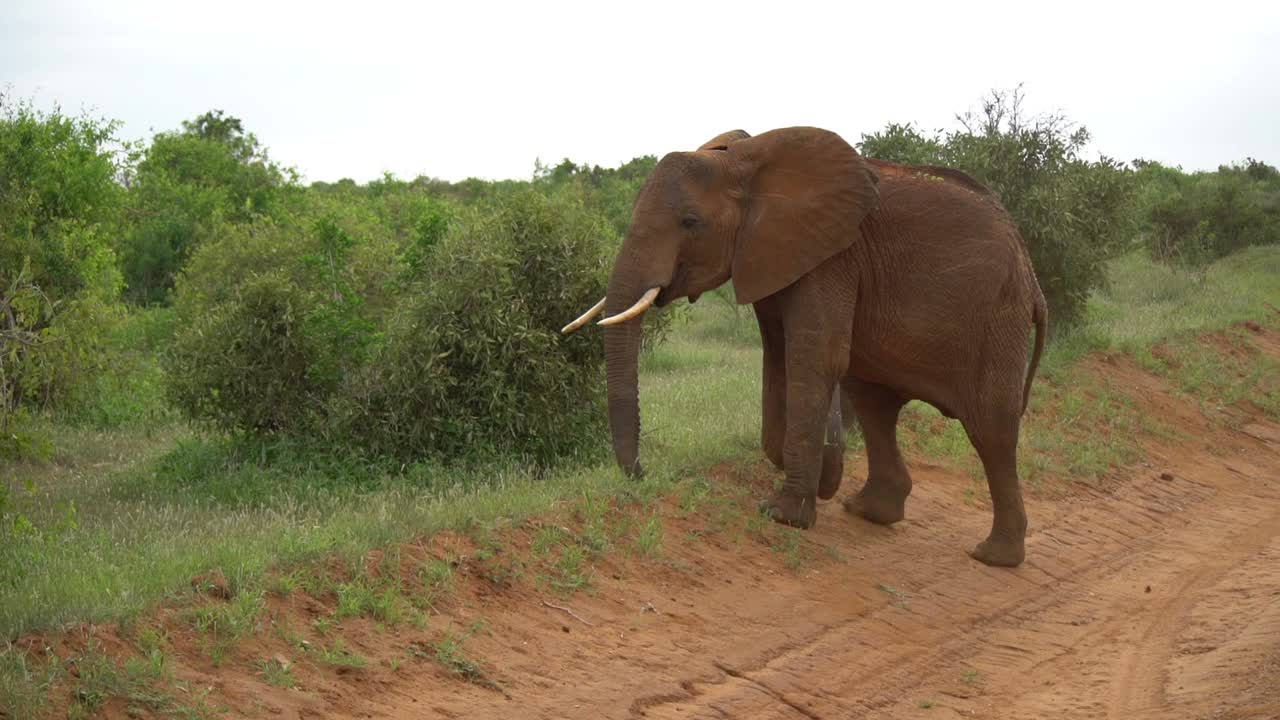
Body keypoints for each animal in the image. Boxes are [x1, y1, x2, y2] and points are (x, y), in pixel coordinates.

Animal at [565, 127, 1044, 566]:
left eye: (690, 222)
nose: (642, 473)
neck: (743, 161)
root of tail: (1031, 270)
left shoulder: (832, 256)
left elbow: (813, 356)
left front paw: (785, 515)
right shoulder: (773, 254)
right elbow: (779, 355)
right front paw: (825, 478)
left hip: (999, 316)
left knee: (991, 429)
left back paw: (994, 556)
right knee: (875, 405)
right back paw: (870, 511)